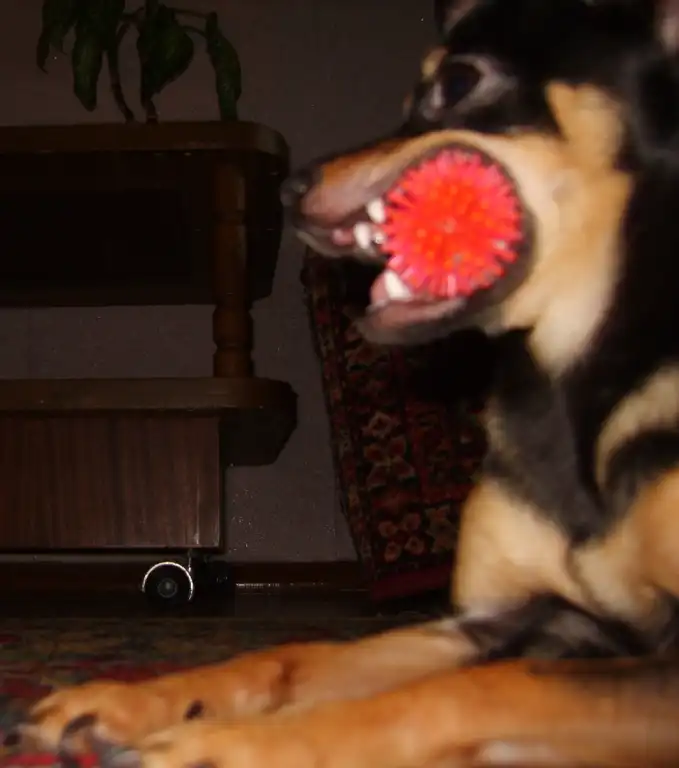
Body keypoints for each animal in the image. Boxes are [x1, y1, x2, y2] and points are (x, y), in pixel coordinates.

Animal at [9, 0, 679, 764]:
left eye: (458, 81)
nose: (289, 188)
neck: (571, 380)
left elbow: (482, 688)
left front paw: (235, 744)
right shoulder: (487, 622)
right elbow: (298, 654)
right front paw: (128, 700)